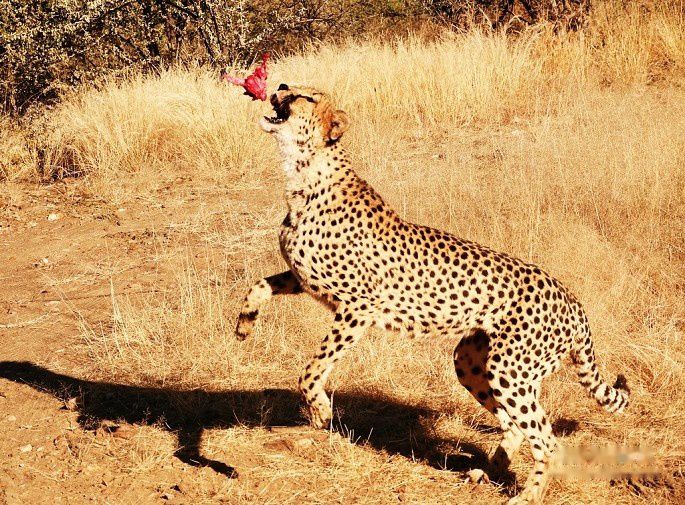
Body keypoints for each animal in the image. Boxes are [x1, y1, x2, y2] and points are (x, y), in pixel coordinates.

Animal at [235, 83, 630, 504]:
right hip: (473, 361)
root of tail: (573, 300)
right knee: (517, 425)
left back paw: (528, 495)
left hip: (511, 370)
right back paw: (489, 469)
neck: (305, 172)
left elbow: (312, 367)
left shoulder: (359, 306)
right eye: (288, 87)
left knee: (546, 438)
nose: (278, 89)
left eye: (306, 97)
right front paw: (244, 324)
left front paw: (319, 410)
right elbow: (259, 285)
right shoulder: (304, 280)